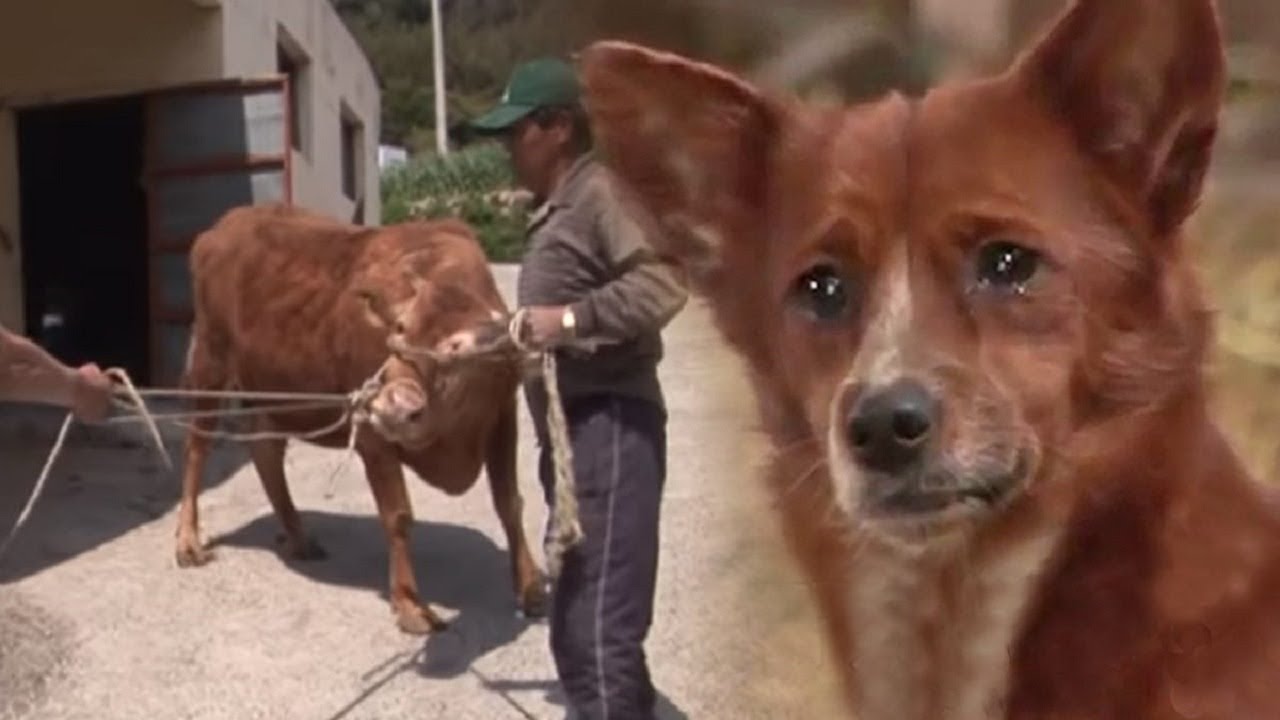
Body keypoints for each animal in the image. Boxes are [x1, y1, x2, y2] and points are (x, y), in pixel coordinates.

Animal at [174, 199, 545, 627]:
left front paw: (530, 587)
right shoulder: (373, 436)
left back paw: (299, 536)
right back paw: (188, 541)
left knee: (266, 453)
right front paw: (408, 603)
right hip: (209, 363)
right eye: (399, 328)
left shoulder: (502, 415)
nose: (393, 405)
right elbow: (397, 515)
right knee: (197, 448)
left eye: (458, 350)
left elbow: (509, 502)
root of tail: (222, 228)